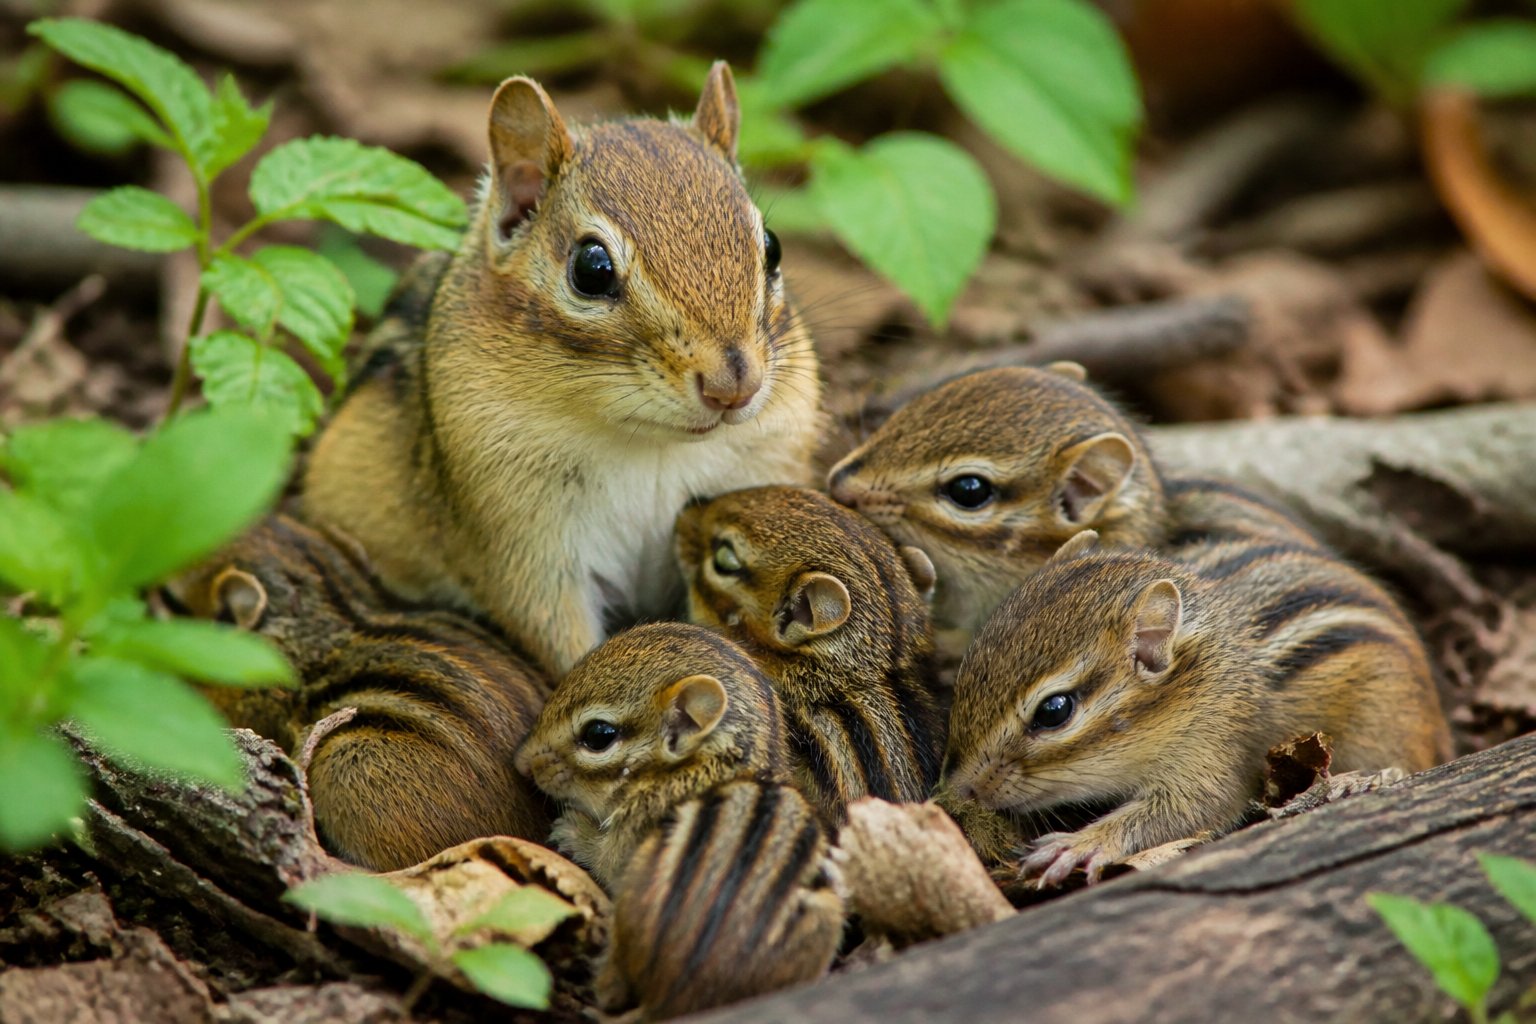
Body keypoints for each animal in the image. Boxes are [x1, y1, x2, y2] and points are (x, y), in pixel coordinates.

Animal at [301, 62, 823, 677]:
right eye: (591, 268)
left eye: (773, 246)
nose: (733, 385)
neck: (654, 444)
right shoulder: (526, 548)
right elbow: (565, 642)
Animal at [944, 530, 1453, 887]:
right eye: (972, 662)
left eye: (1054, 710)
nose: (964, 789)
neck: (1202, 679)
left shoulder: (1217, 753)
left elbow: (1187, 811)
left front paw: (1078, 843)